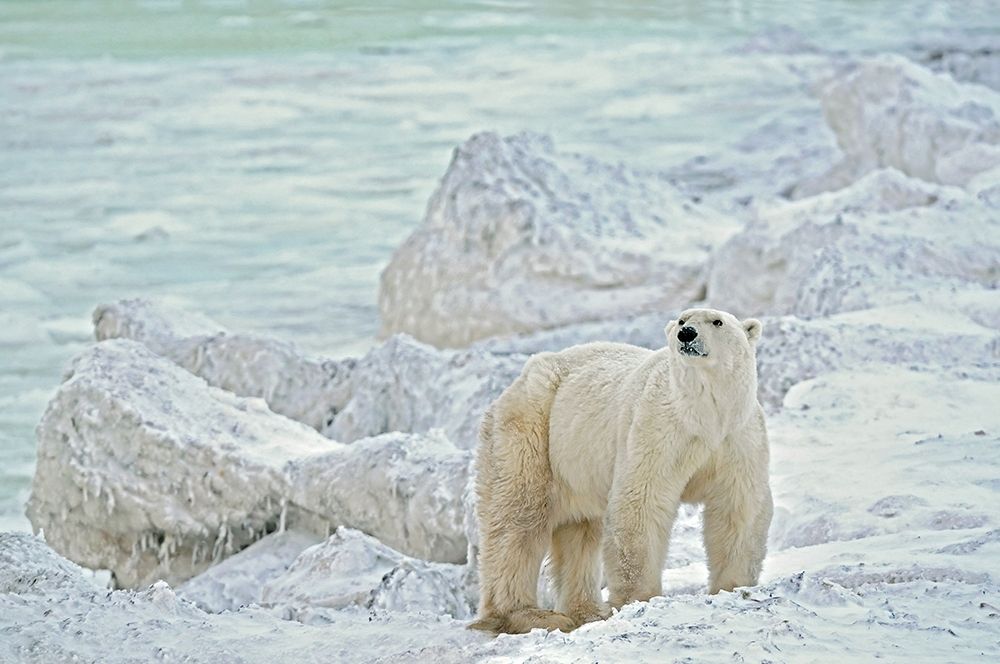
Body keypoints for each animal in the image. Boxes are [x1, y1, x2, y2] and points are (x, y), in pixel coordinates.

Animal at [468, 308, 772, 636]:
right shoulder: (658, 428)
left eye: (717, 321)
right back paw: (530, 615)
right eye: (682, 320)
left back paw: (586, 612)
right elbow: (642, 500)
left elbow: (739, 507)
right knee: (518, 517)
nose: (686, 334)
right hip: (531, 430)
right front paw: (638, 599)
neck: (704, 415)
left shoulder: (738, 438)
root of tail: (517, 383)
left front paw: (734, 586)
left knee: (580, 530)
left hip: (576, 461)